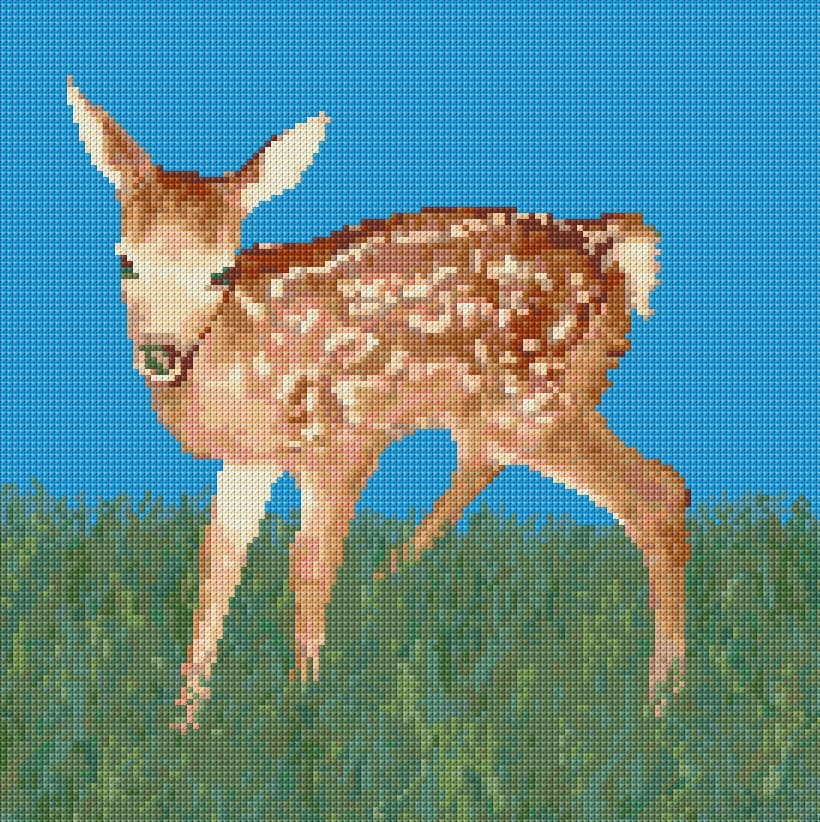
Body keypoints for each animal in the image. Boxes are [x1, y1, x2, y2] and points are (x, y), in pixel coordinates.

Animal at [67, 76, 690, 731]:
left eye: (221, 271)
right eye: (125, 260)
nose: (160, 354)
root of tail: (620, 254)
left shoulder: (342, 440)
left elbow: (308, 565)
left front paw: (301, 712)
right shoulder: (250, 458)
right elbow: (217, 569)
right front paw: (185, 721)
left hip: (536, 401)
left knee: (658, 494)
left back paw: (664, 702)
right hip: (510, 408)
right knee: (494, 474)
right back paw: (391, 580)